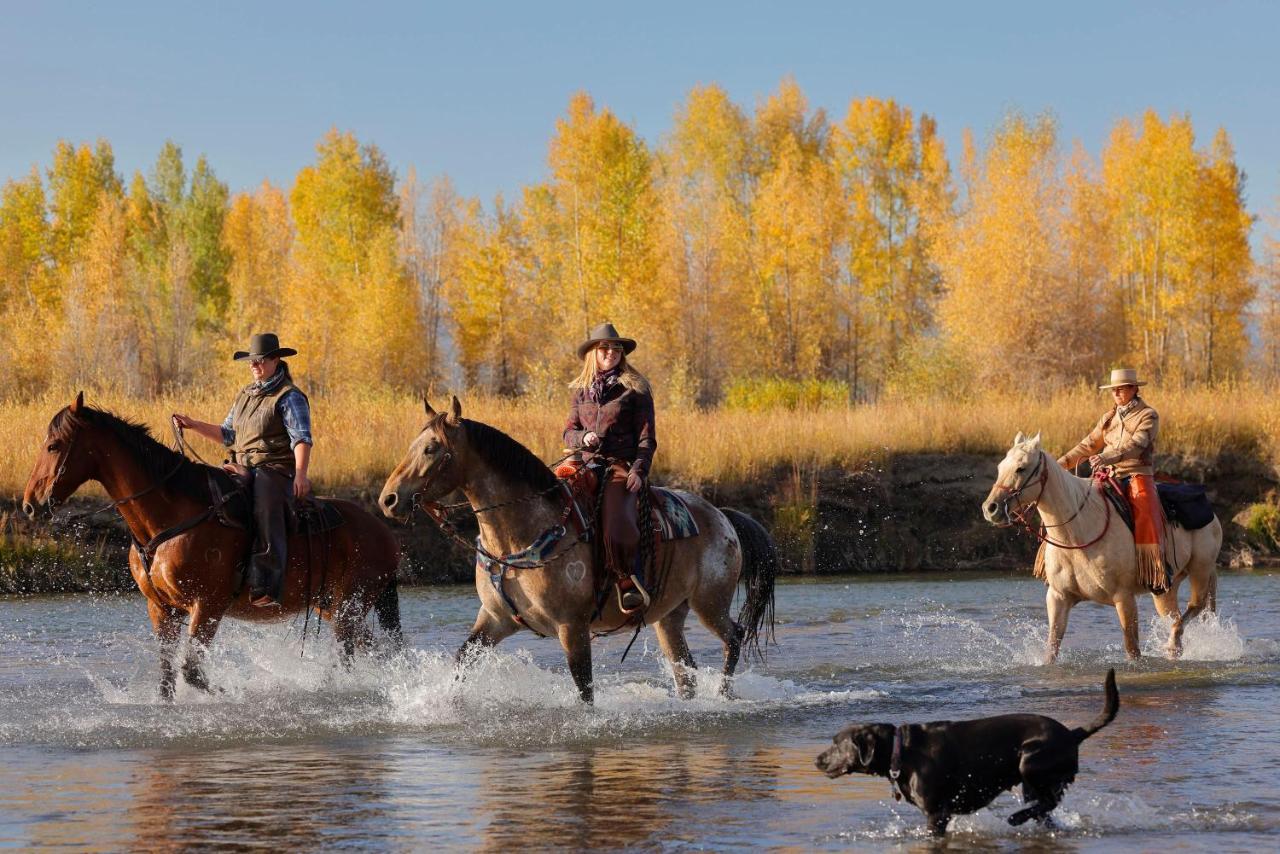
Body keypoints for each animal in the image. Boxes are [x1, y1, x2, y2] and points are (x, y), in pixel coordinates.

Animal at [24, 394, 404, 701]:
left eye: (54, 445)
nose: (30, 504)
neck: (170, 519)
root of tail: (384, 532)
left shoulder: (207, 605)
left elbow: (192, 672)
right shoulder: (161, 608)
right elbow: (167, 677)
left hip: (349, 609)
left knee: (350, 657)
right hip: (333, 607)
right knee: (374, 652)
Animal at [376, 396, 778, 706]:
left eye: (431, 448)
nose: (388, 500)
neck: (519, 535)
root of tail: (721, 516)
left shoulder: (572, 626)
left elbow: (583, 687)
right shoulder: (495, 618)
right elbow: (463, 660)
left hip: (710, 603)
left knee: (734, 637)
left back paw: (725, 695)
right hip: (669, 616)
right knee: (685, 670)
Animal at [814, 665, 1116, 834]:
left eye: (836, 743)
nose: (816, 760)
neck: (901, 751)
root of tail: (1073, 734)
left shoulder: (937, 814)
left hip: (1031, 761)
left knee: (1049, 802)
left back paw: (1016, 818)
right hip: (1032, 781)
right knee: (1044, 808)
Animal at [983, 435, 1223, 660]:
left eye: (1021, 468)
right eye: (1000, 467)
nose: (990, 508)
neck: (1077, 536)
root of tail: (1211, 513)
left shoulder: (1124, 598)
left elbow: (1132, 650)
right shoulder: (1058, 598)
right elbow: (1052, 649)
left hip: (1200, 570)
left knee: (1195, 606)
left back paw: (1173, 643)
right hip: (1165, 589)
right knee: (1175, 615)